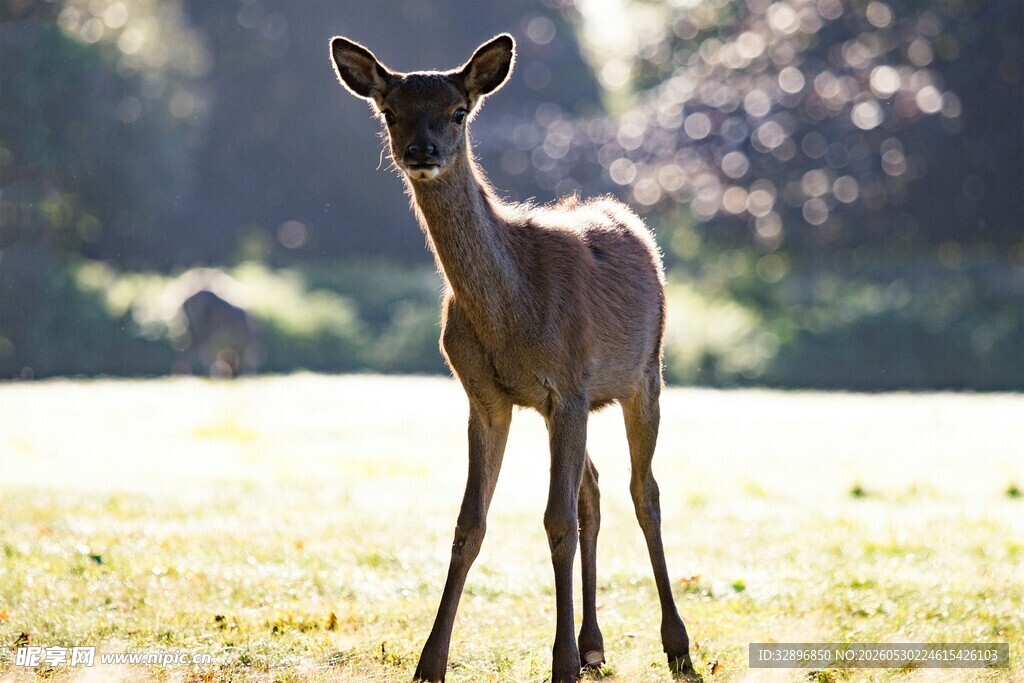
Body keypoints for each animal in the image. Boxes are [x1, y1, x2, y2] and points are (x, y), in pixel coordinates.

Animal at [329, 33, 698, 683]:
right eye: (390, 111)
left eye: (459, 111)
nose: (421, 151)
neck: (513, 310)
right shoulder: (486, 397)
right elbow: (469, 523)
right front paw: (430, 662)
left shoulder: (568, 385)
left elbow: (555, 522)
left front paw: (560, 663)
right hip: (581, 405)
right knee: (594, 489)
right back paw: (596, 645)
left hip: (645, 375)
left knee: (644, 491)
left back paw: (675, 645)